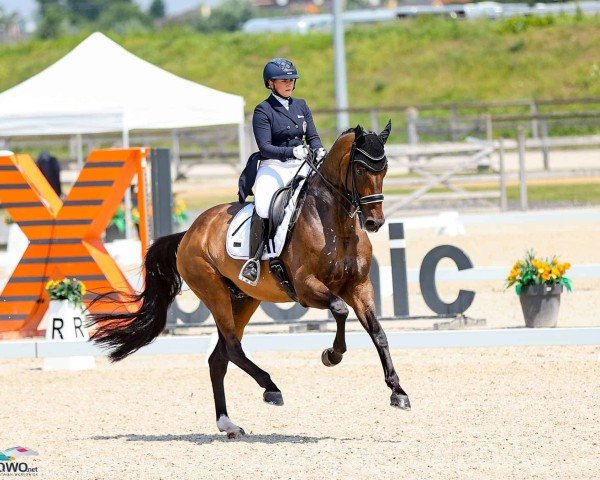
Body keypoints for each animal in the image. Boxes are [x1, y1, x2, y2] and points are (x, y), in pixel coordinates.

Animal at [89, 121, 412, 438]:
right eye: (359, 169)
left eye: (384, 169)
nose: (374, 222)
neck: (335, 223)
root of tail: (189, 232)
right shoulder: (307, 287)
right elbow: (340, 310)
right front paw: (331, 355)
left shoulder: (359, 286)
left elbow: (378, 332)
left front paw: (398, 392)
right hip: (214, 292)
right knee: (232, 347)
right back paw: (271, 388)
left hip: (244, 299)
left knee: (218, 358)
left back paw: (228, 424)